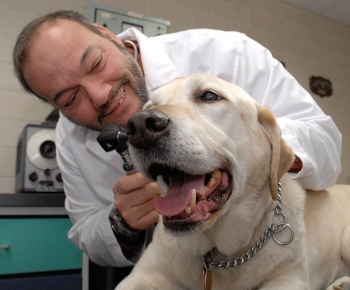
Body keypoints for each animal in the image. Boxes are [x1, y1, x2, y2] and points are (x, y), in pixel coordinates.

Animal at [116, 73, 350, 288]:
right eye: (150, 105)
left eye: (209, 96)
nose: (139, 126)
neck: (220, 257)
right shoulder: (144, 274)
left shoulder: (289, 278)